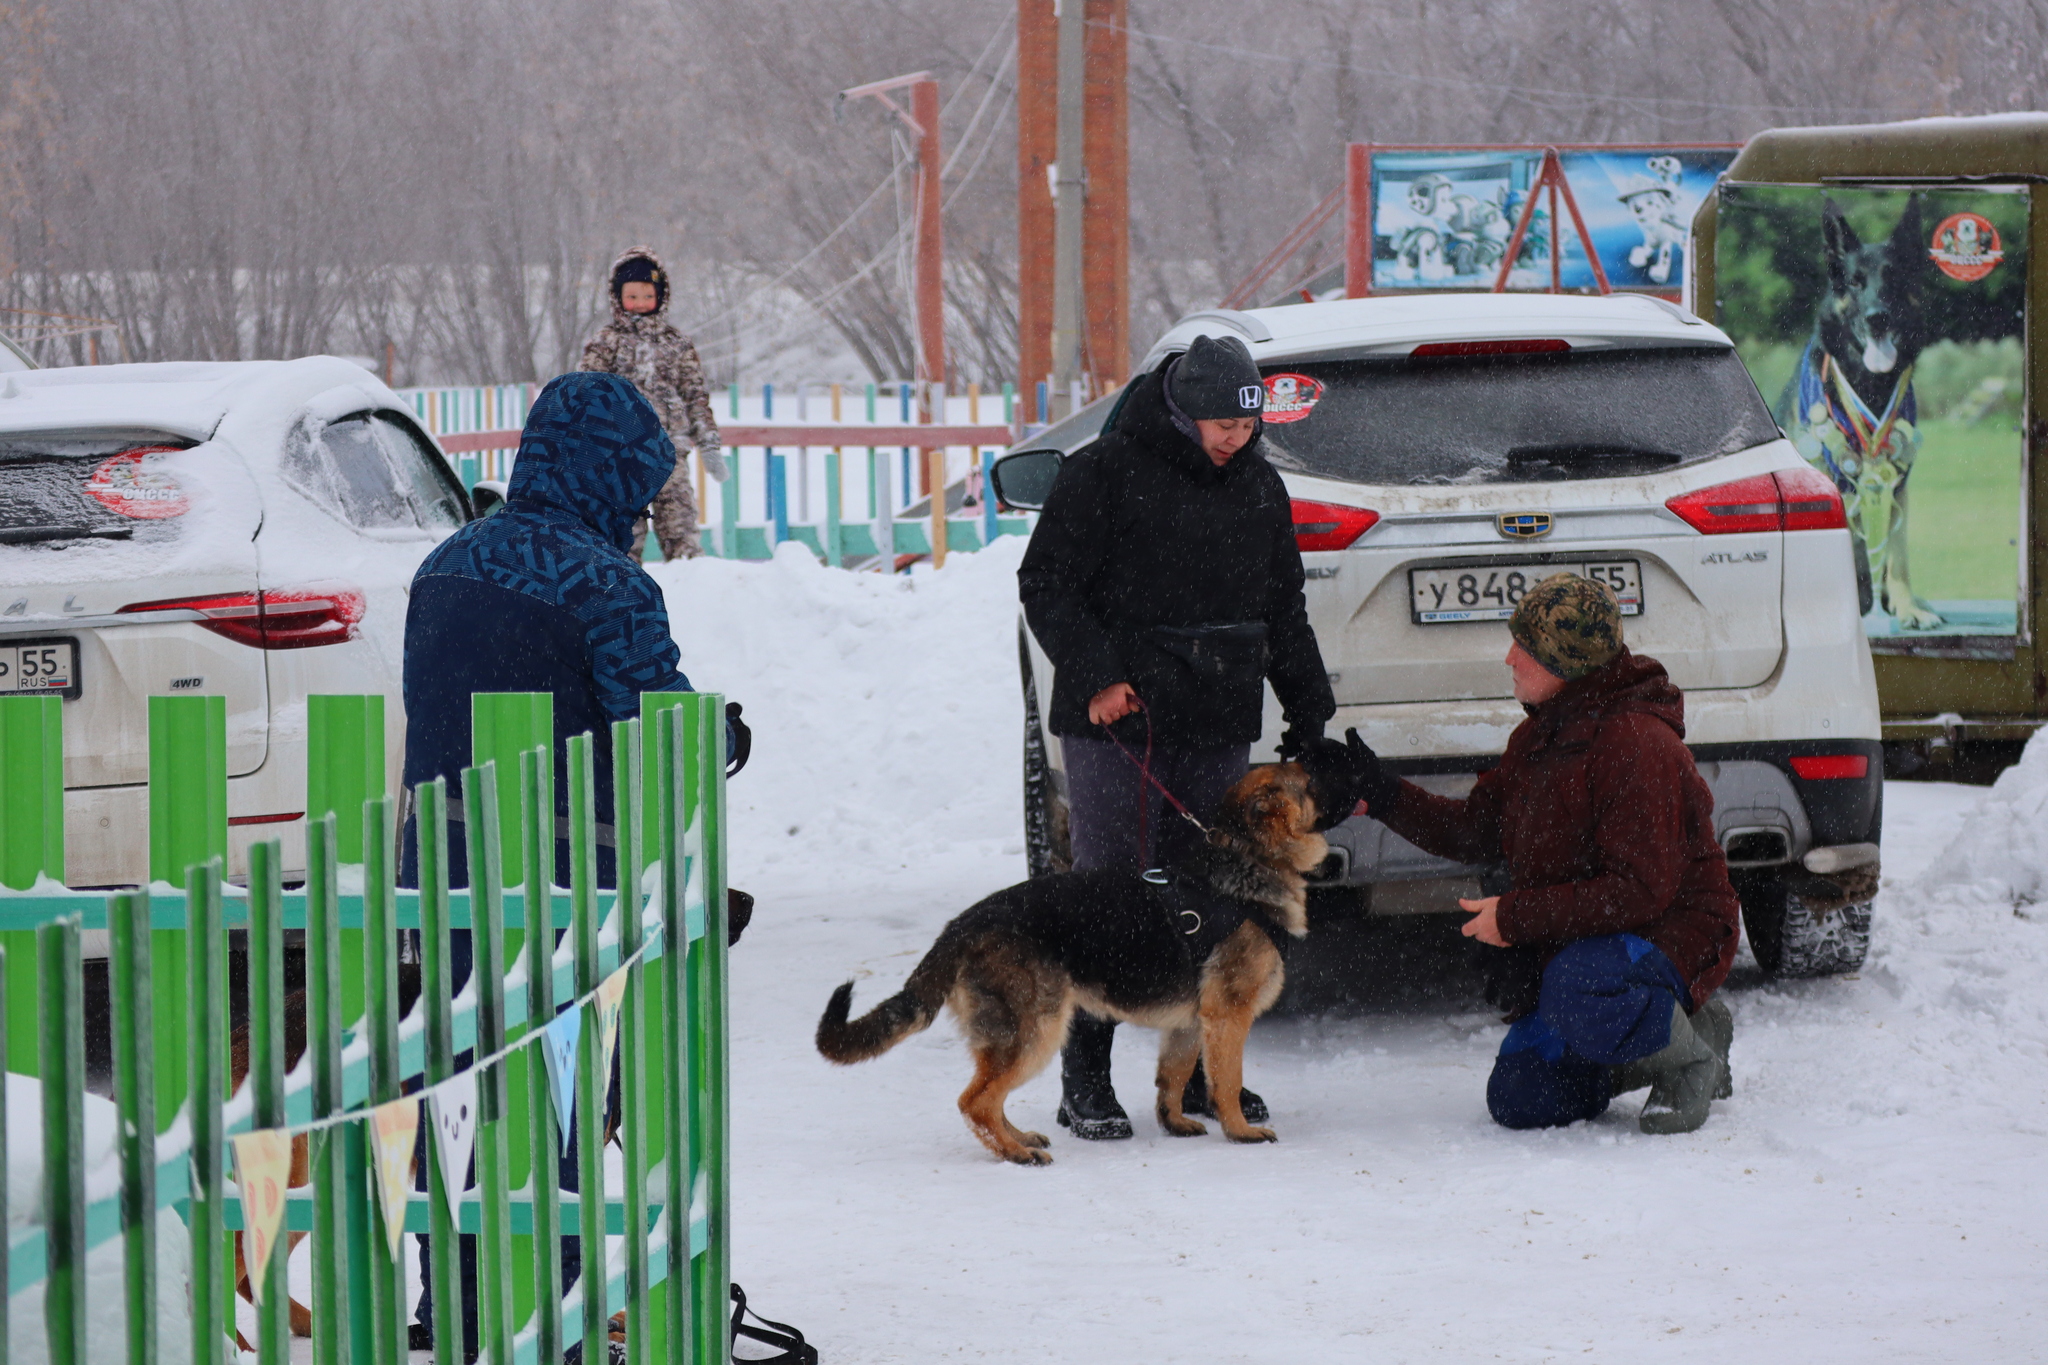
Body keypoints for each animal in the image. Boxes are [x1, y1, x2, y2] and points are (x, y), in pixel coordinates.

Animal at [815, 765, 1327, 1170]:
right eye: (1311, 781)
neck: (1246, 857)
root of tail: (961, 925)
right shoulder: (1228, 1016)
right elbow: (1228, 1080)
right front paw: (1239, 1131)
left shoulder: (1190, 1022)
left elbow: (1175, 1075)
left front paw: (1175, 1122)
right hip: (1037, 1031)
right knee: (974, 1102)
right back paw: (1016, 1154)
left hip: (1019, 1036)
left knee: (988, 1097)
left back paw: (1018, 1138)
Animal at [1777, 196, 1933, 630]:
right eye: (1856, 282)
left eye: (1893, 279)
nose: (1877, 317)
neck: (1869, 386)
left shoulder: (1896, 481)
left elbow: (1896, 555)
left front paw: (1906, 607)